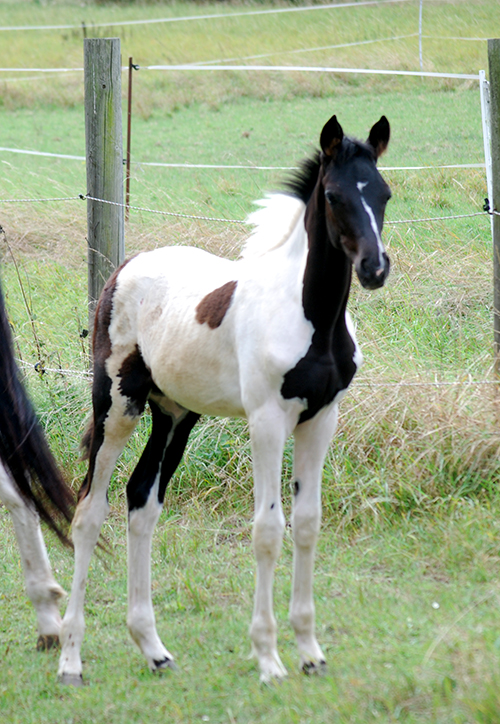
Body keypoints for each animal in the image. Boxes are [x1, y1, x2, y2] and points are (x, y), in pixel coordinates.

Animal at [58, 113, 391, 685]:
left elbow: (307, 523)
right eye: (333, 195)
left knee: (142, 500)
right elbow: (268, 529)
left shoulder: (321, 418)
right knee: (89, 511)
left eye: (385, 194)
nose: (374, 268)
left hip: (175, 414)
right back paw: (71, 659)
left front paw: (310, 651)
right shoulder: (267, 420)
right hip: (117, 404)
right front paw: (269, 657)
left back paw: (153, 648)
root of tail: (125, 266)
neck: (311, 318)